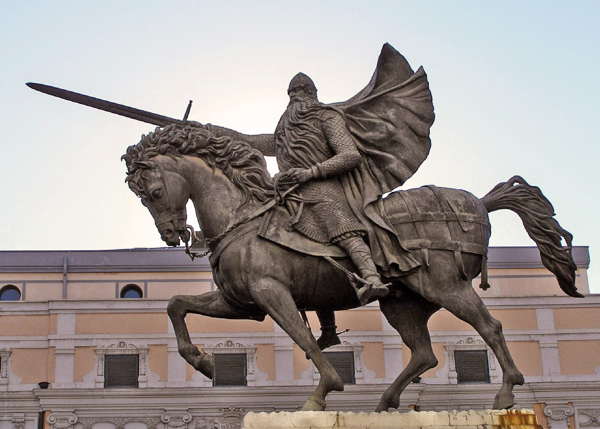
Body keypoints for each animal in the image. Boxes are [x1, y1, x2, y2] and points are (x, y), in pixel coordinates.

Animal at [123, 123, 580, 412]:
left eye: (154, 192)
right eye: (142, 198)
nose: (172, 234)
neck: (245, 216)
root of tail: (480, 203)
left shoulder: (272, 293)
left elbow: (304, 341)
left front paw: (323, 391)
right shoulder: (241, 302)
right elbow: (176, 305)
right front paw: (202, 362)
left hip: (444, 286)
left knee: (490, 327)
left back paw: (506, 392)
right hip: (401, 302)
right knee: (424, 354)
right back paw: (385, 404)